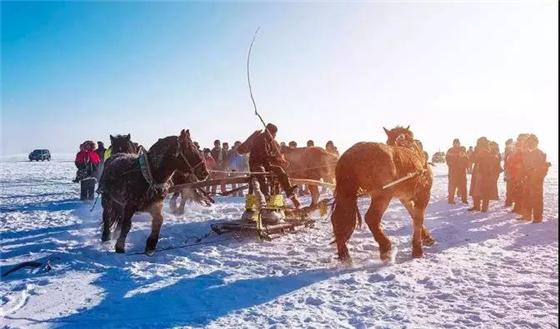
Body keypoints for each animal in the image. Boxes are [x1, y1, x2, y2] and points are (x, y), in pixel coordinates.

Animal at [332, 125, 434, 262]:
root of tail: (350, 156)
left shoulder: (405, 198)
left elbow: (413, 214)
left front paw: (426, 237)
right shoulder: (424, 195)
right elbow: (418, 218)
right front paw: (417, 249)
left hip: (346, 193)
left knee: (339, 219)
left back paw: (344, 253)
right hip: (382, 195)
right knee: (371, 218)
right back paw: (385, 247)